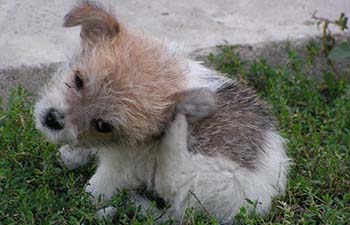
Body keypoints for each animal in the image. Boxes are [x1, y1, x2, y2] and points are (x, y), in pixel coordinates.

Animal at [34, 1, 288, 223]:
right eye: (78, 80)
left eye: (104, 125)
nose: (52, 119)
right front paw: (72, 155)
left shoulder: (121, 165)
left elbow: (96, 189)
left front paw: (84, 200)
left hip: (207, 177)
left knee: (170, 186)